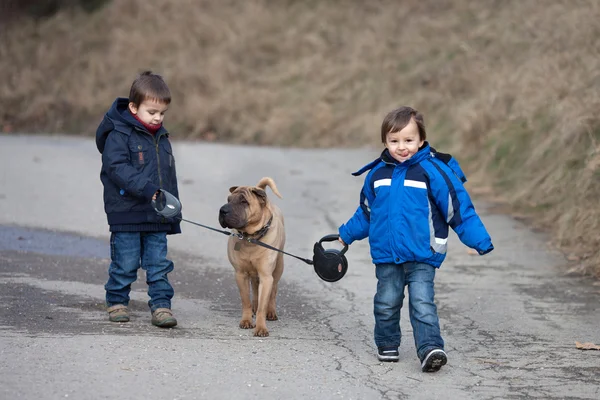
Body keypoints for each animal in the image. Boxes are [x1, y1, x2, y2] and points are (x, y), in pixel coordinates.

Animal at [218, 177, 286, 336]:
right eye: (228, 199)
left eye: (244, 201)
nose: (222, 210)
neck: (251, 239)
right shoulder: (240, 274)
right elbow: (246, 301)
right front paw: (246, 320)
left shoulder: (266, 276)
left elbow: (263, 305)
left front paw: (261, 327)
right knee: (255, 289)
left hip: (278, 268)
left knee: (273, 291)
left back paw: (271, 311)